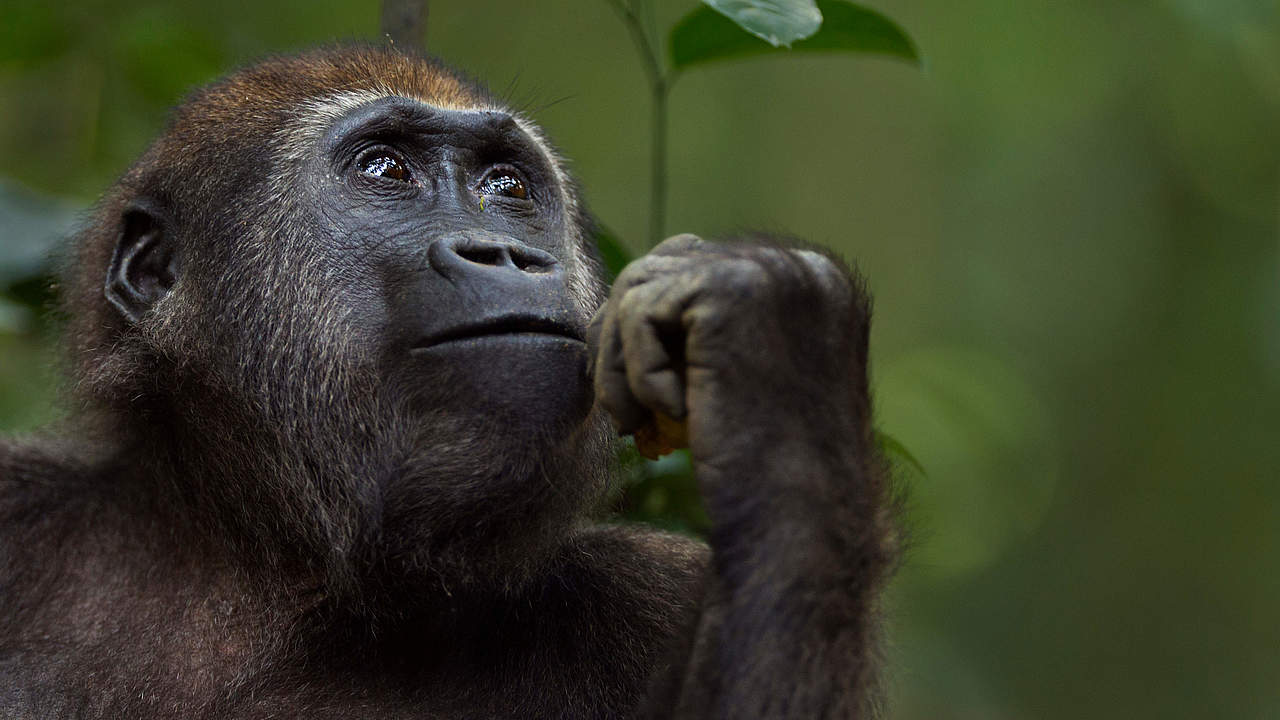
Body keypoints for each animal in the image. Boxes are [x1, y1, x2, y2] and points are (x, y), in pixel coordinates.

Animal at [0, 47, 901, 712]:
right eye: (385, 170)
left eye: (507, 186)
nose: (505, 253)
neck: (259, 551)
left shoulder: (659, 592)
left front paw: (782, 361)